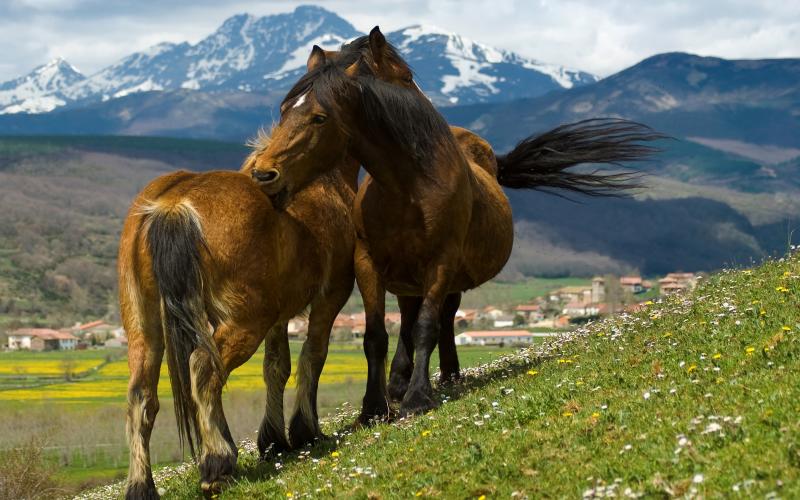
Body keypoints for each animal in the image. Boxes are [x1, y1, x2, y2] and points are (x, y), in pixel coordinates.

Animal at [118, 139, 356, 498]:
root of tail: (172, 206)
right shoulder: (331, 296)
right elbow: (313, 356)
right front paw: (306, 432)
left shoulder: (279, 318)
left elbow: (276, 367)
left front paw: (275, 441)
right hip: (245, 323)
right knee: (204, 369)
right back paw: (217, 463)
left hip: (144, 331)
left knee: (141, 397)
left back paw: (141, 485)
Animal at [250, 32, 664, 422]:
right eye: (284, 110)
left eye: (319, 117)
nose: (264, 174)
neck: (408, 187)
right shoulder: (368, 263)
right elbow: (375, 336)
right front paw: (374, 408)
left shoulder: (441, 261)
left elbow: (426, 327)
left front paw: (417, 398)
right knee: (414, 318)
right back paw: (406, 382)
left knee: (441, 318)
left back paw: (444, 377)